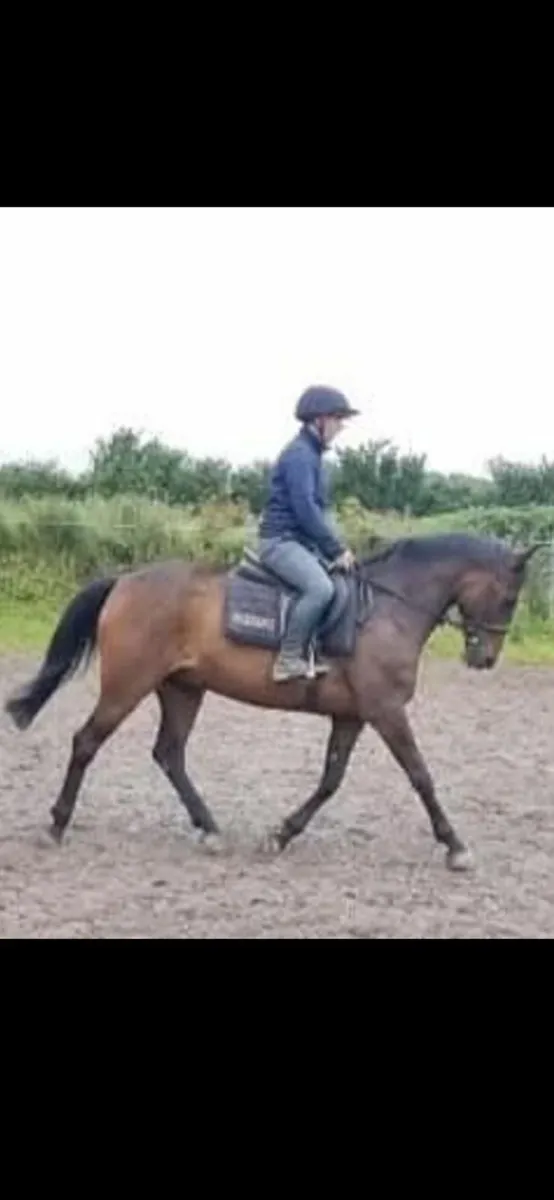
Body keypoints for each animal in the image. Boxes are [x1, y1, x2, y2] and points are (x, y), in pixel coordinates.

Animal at [4, 532, 542, 870]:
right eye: (510, 598)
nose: (485, 658)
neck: (388, 608)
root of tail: (126, 580)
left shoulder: (352, 715)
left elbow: (330, 780)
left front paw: (281, 834)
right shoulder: (386, 712)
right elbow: (420, 775)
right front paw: (456, 847)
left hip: (182, 688)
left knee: (169, 753)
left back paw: (210, 829)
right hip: (127, 685)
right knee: (86, 742)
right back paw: (57, 825)